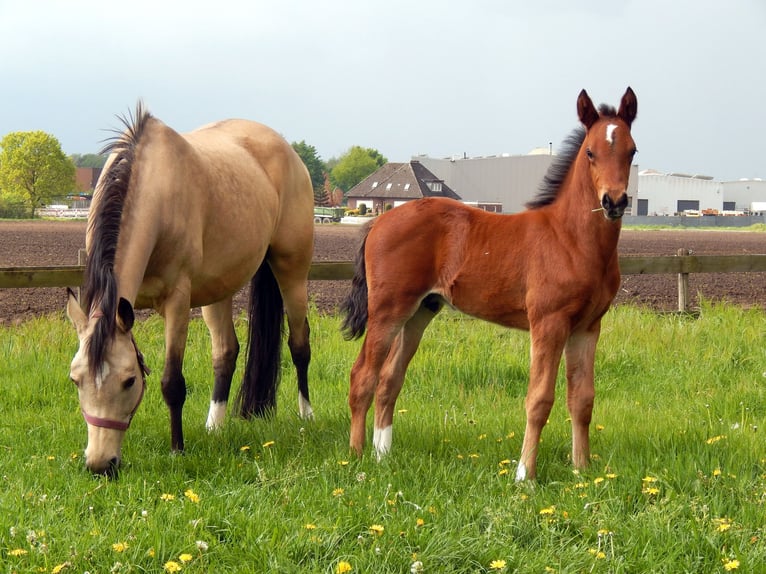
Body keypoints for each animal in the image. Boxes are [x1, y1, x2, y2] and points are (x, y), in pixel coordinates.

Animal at [67, 104, 316, 476]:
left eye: (129, 380)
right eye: (76, 380)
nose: (100, 464)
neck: (156, 188)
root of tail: (287, 150)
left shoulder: (178, 303)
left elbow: (172, 382)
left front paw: (177, 449)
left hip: (292, 271)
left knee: (299, 345)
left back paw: (306, 416)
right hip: (218, 289)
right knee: (226, 353)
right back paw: (215, 425)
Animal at [344, 85, 640, 482]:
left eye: (632, 150)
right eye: (591, 152)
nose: (614, 201)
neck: (571, 239)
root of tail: (378, 221)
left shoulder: (588, 327)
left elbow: (582, 399)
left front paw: (582, 471)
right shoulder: (548, 323)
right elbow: (539, 399)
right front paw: (525, 475)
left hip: (420, 311)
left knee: (390, 379)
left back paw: (382, 454)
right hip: (388, 310)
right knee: (363, 375)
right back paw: (357, 458)